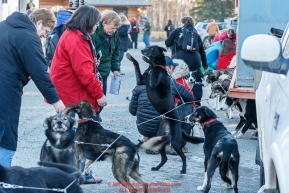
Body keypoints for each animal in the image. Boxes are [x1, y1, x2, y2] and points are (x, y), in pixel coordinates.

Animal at [125, 45, 204, 173]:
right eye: (147, 47)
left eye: (152, 48)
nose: (142, 50)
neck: (159, 67)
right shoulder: (141, 81)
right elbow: (136, 64)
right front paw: (131, 57)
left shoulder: (152, 83)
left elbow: (152, 65)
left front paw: (148, 60)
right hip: (160, 141)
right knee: (165, 158)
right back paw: (157, 167)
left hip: (175, 142)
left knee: (183, 157)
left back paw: (183, 170)